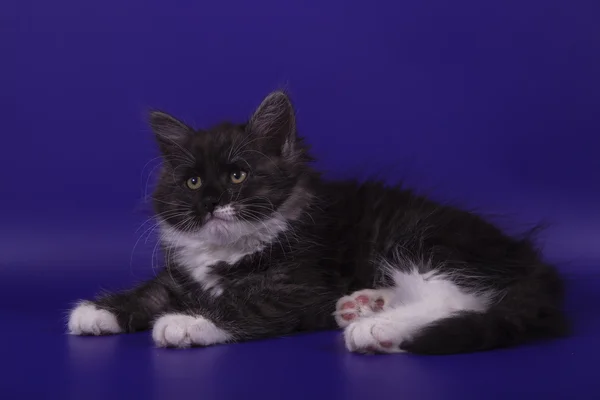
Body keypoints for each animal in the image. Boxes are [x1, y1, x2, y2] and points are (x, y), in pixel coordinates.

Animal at [67, 90, 568, 354]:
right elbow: (151, 292)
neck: (231, 249)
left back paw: (375, 328)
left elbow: (242, 305)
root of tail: (530, 259)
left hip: (423, 240)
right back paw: (364, 304)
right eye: (192, 182)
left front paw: (184, 322)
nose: (210, 203)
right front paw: (97, 311)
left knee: (460, 297)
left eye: (237, 175)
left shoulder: (299, 287)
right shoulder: (183, 275)